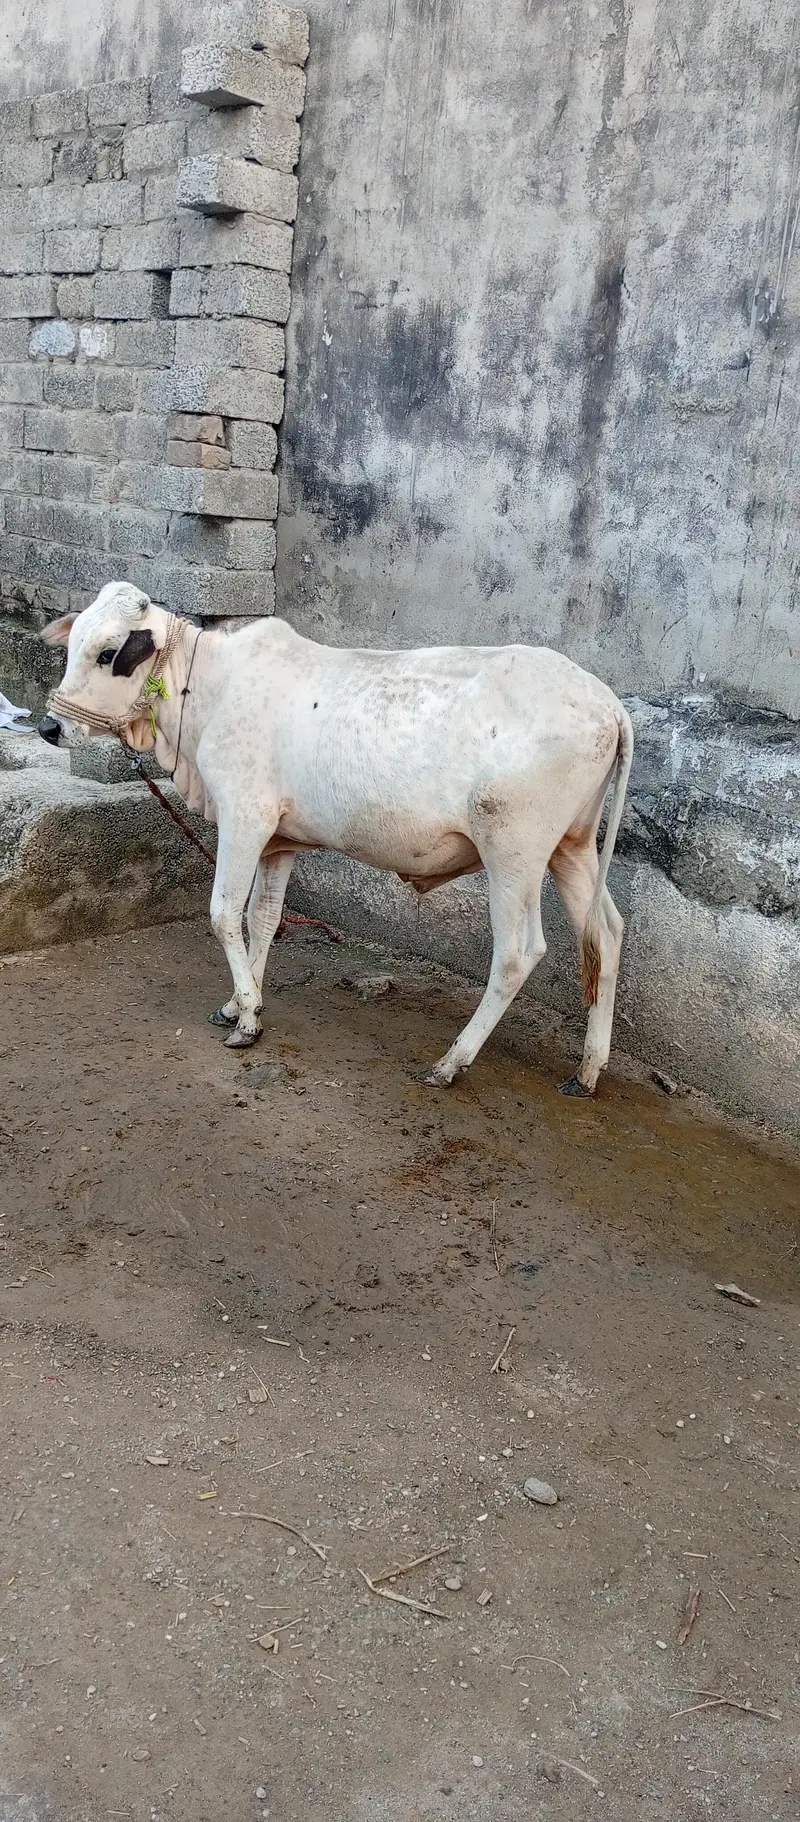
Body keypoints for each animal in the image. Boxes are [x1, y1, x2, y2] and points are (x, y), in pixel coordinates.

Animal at [38, 582, 633, 1094]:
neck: (209, 687)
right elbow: (263, 918)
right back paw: (587, 1071)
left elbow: (224, 914)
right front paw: (241, 1002)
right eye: (74, 643)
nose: (50, 727)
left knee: (516, 953)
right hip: (571, 848)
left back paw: (451, 1062)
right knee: (605, 934)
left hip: (514, 854)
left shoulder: (244, 818)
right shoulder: (278, 842)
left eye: (108, 653)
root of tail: (608, 703)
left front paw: (247, 1020)